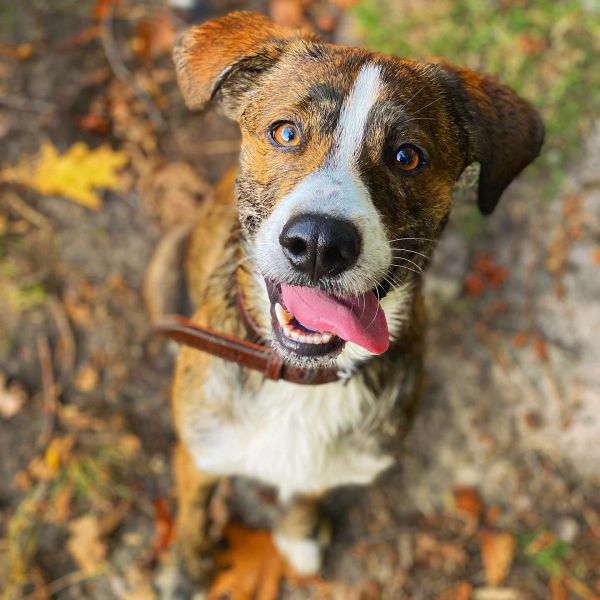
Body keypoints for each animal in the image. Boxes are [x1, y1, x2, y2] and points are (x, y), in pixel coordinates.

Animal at [162, 9, 548, 584]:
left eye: (407, 157)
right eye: (285, 132)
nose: (320, 244)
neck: (303, 384)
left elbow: (309, 491)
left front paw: (298, 534)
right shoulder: (201, 453)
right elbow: (192, 515)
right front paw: (186, 571)